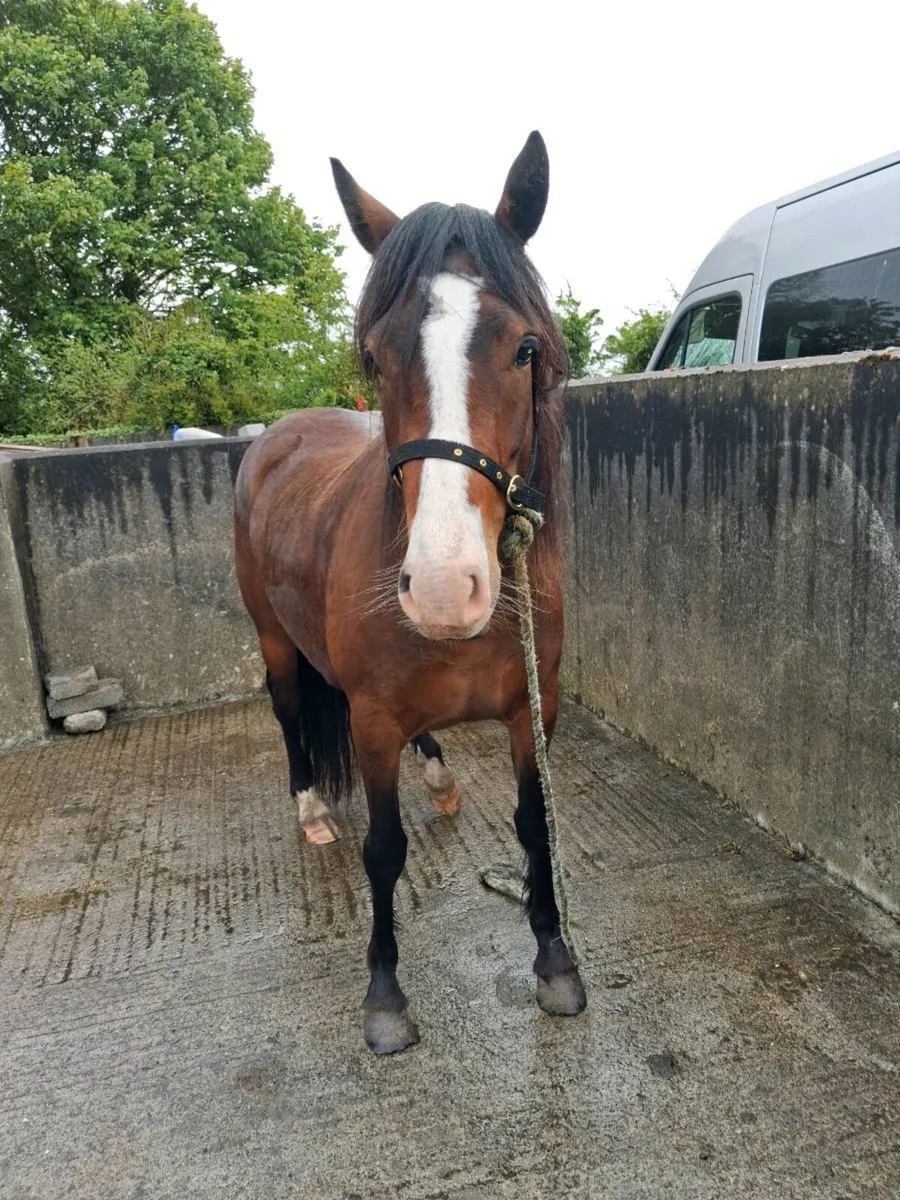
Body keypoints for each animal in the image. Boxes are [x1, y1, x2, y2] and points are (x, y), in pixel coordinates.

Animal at [233, 131, 587, 1054]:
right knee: (291, 715)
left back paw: (438, 776)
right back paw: (312, 809)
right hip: (275, 641)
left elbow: (534, 825)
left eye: (525, 348)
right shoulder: (372, 719)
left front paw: (555, 960)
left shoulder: (534, 706)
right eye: (374, 355)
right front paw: (385, 996)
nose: (441, 588)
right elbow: (382, 851)